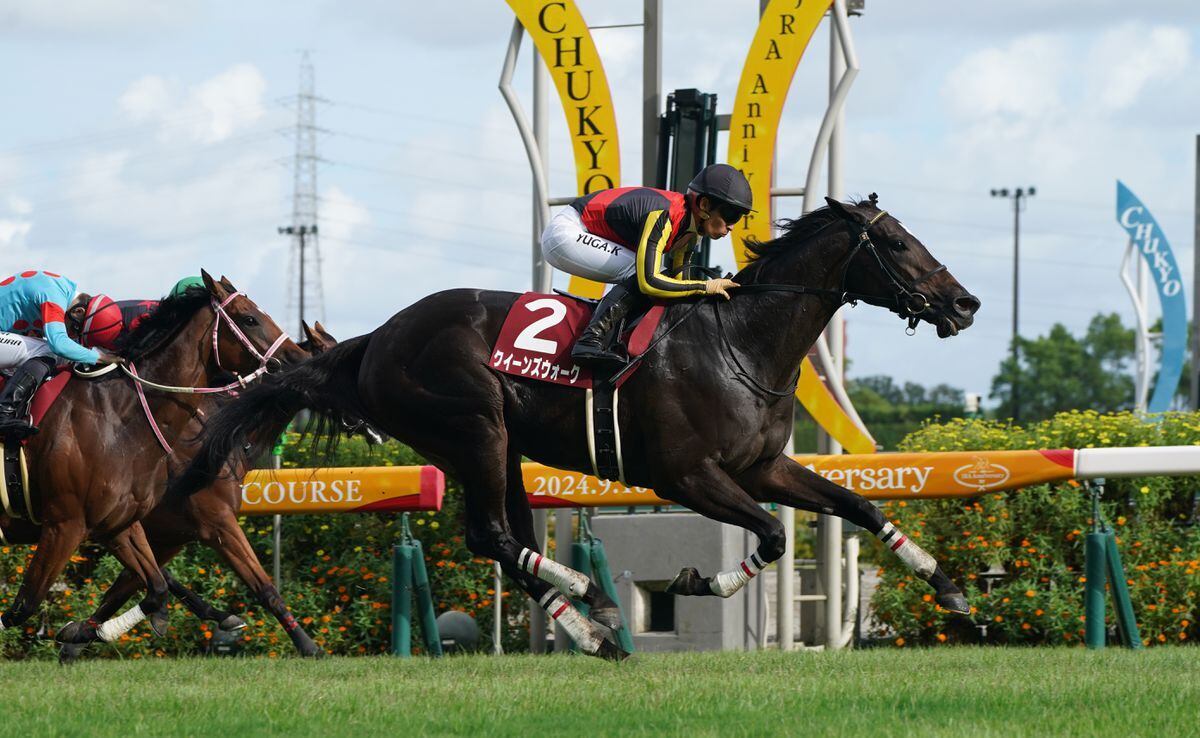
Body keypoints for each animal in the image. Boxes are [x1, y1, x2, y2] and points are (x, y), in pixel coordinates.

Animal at [1, 272, 300, 648]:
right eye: (249, 319)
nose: (295, 357)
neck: (118, 417)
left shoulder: (117, 522)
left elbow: (155, 587)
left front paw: (88, 632)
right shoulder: (65, 524)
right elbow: (22, 608)